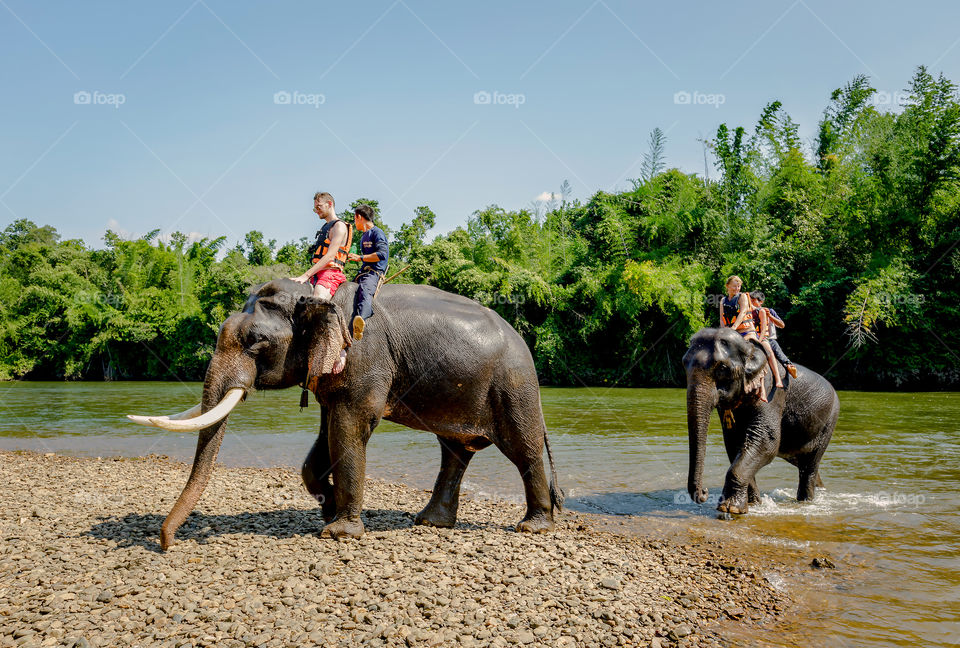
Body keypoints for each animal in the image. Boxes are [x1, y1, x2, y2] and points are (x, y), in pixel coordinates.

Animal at [127, 278, 564, 548]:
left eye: (255, 342)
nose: (165, 543)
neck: (316, 294)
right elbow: (325, 438)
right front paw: (327, 506)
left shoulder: (363, 358)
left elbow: (350, 428)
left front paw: (339, 532)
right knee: (455, 451)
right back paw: (429, 523)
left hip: (514, 384)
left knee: (521, 447)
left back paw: (532, 526)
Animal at [684, 326, 840, 512]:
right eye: (684, 364)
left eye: (722, 367)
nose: (704, 492)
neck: (749, 348)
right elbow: (735, 443)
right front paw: (752, 504)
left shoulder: (772, 390)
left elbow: (767, 441)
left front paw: (730, 508)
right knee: (805, 464)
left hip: (829, 421)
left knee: (810, 465)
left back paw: (806, 501)